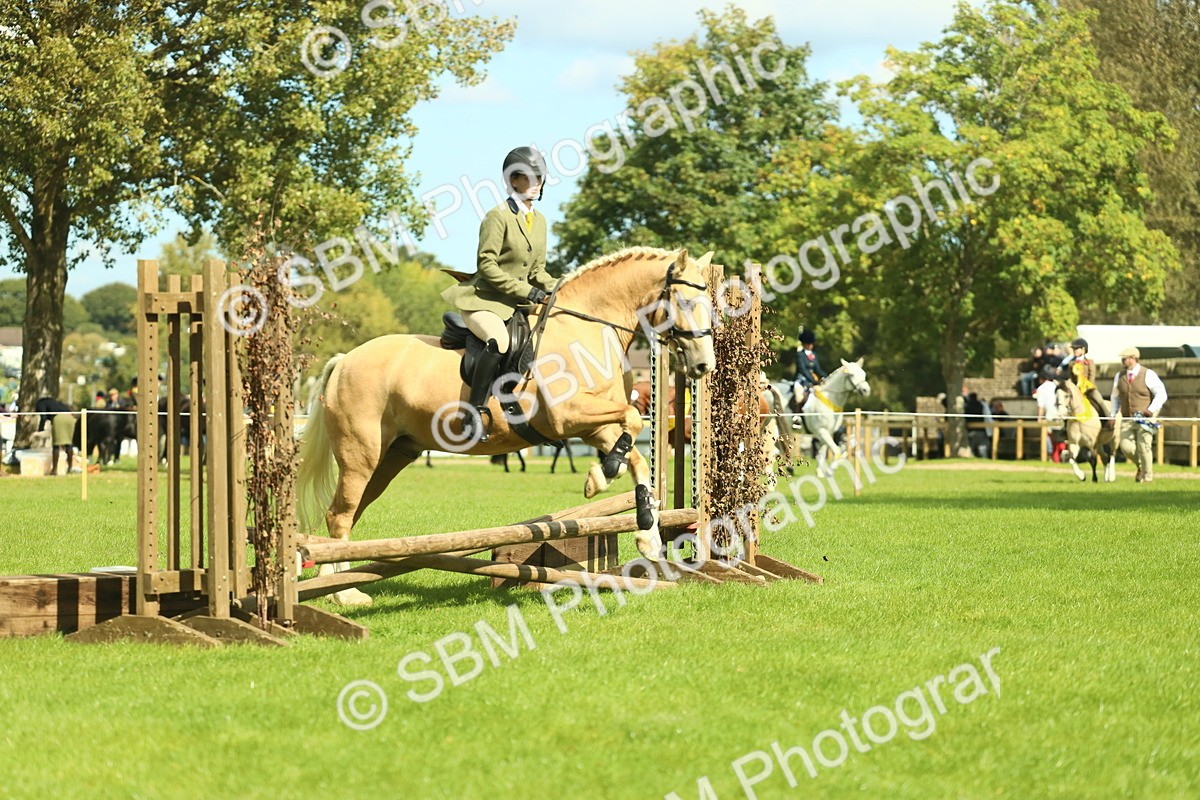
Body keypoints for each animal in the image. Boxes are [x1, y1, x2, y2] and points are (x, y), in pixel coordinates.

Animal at [297, 247, 716, 605]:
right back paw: (343, 594)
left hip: (392, 457)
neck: (587, 330)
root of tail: (344, 360)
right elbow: (629, 420)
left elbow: (636, 454)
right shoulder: (569, 415)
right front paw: (601, 477)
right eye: (685, 303)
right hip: (361, 455)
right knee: (340, 515)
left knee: (347, 513)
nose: (703, 366)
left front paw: (644, 532)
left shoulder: (594, 426)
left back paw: (335, 583)